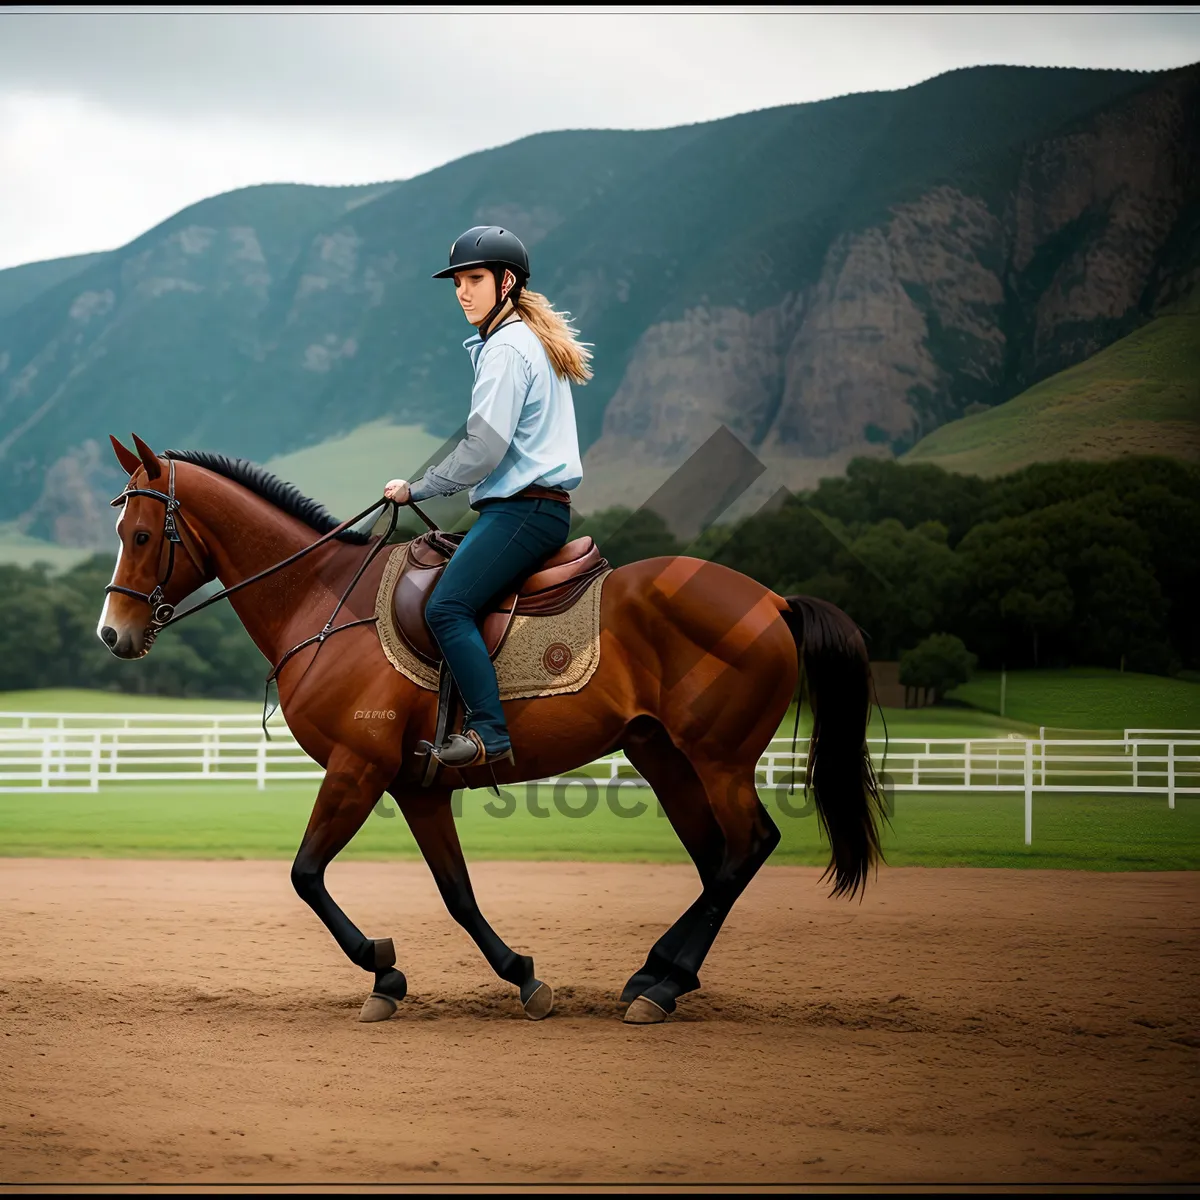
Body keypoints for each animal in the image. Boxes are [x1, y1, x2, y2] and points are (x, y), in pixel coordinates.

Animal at [100, 432, 883, 1022]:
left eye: (139, 534)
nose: (113, 633)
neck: (323, 601)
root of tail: (771, 600)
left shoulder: (357, 768)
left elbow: (306, 875)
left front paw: (382, 967)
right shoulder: (417, 788)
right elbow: (457, 892)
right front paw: (518, 975)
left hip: (717, 759)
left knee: (746, 847)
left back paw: (661, 984)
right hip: (663, 755)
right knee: (715, 858)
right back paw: (660, 974)